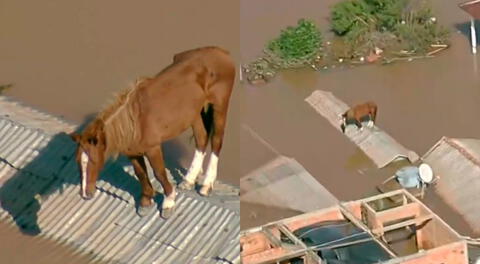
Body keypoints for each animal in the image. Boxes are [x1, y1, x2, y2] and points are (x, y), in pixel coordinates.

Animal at [70, 47, 236, 219]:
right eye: (78, 161)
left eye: (93, 161)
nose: (85, 194)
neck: (135, 122)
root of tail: (222, 52)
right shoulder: (132, 151)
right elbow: (141, 173)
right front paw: (145, 201)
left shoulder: (153, 148)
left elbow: (159, 173)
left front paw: (168, 202)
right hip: (194, 114)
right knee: (201, 139)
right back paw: (189, 180)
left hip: (219, 106)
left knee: (216, 141)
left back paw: (206, 186)